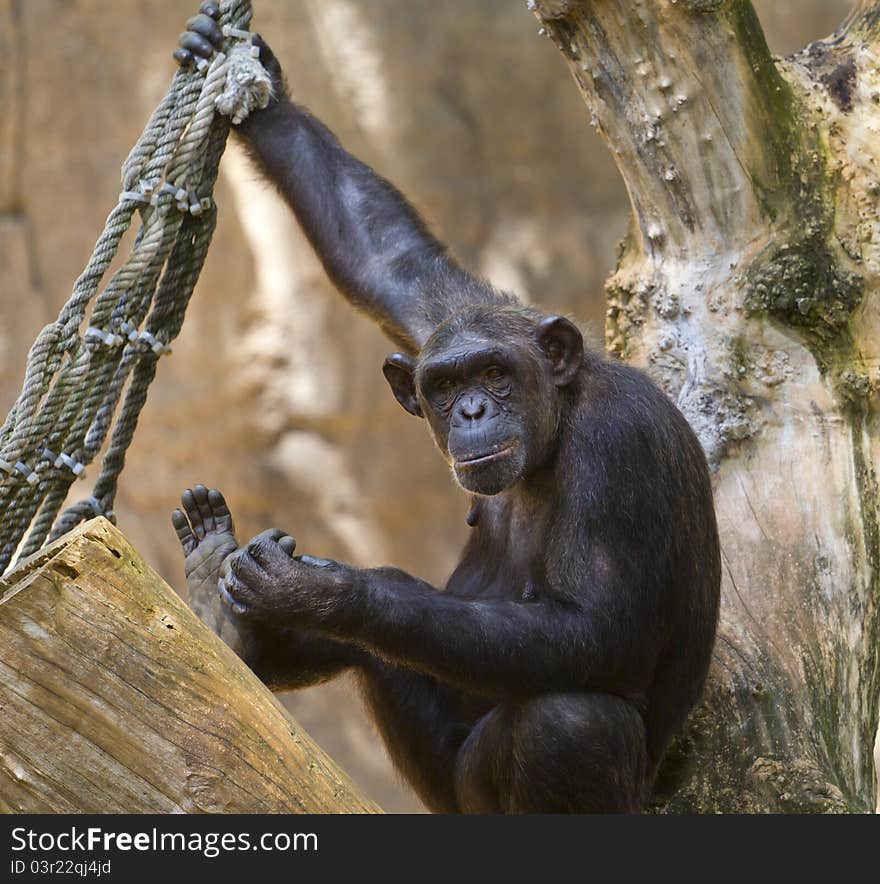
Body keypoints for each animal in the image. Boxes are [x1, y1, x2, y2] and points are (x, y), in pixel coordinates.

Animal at [170, 1, 720, 816]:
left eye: (495, 373)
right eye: (445, 387)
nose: (471, 412)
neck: (559, 422)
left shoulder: (619, 446)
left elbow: (597, 628)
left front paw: (337, 591)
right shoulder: (447, 313)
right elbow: (386, 257)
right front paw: (254, 82)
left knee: (571, 721)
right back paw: (222, 607)